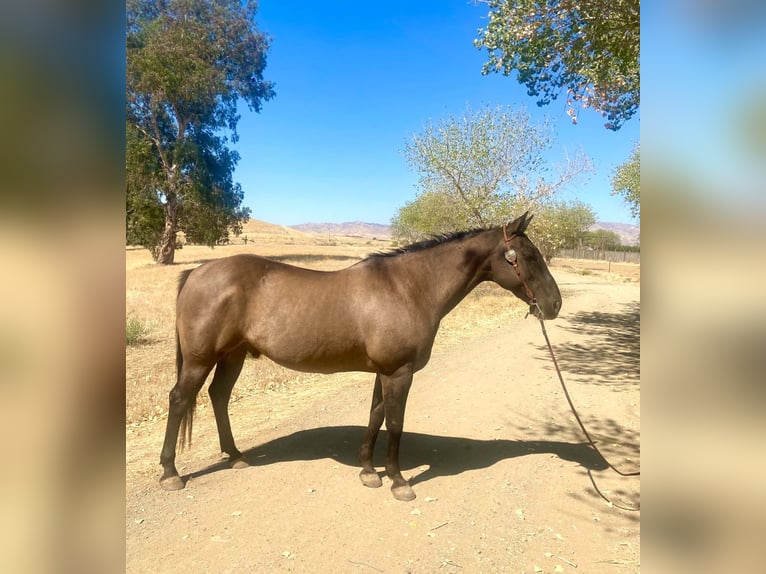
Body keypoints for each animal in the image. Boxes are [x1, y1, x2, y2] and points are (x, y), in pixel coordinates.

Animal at [159, 212, 562, 500]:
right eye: (529, 256)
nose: (555, 304)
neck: (409, 288)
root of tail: (197, 272)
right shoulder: (399, 372)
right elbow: (395, 423)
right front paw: (398, 481)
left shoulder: (384, 372)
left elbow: (375, 416)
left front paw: (369, 471)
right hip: (200, 359)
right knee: (179, 400)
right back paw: (170, 473)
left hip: (233, 355)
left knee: (218, 396)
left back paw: (235, 456)